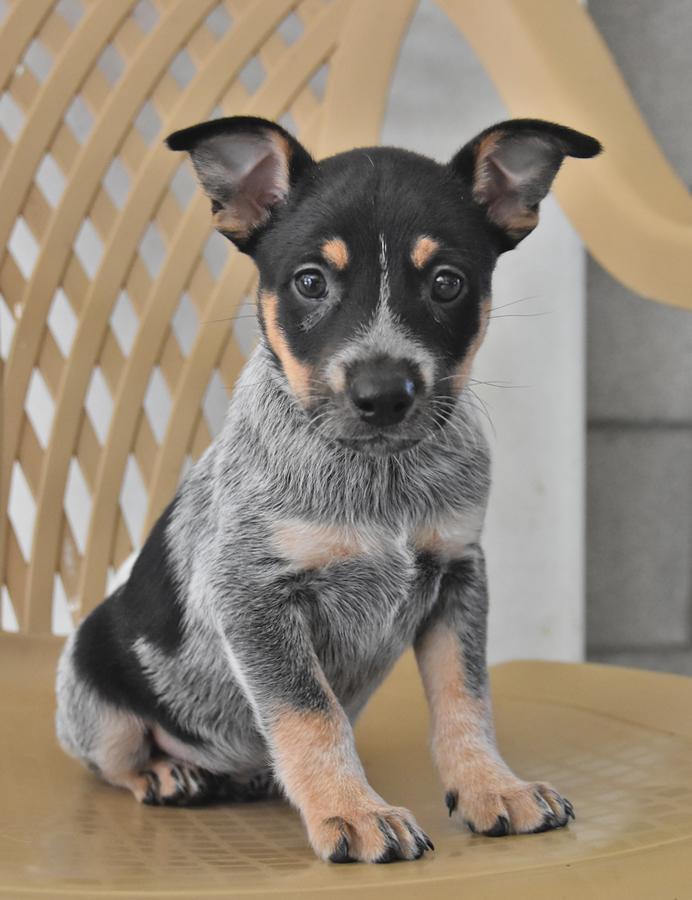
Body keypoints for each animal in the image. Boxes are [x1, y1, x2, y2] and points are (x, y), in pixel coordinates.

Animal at [56, 116, 600, 860]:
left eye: (447, 282)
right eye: (311, 281)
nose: (385, 394)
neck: (380, 478)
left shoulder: (458, 572)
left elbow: (465, 696)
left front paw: (493, 786)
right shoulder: (251, 594)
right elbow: (310, 714)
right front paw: (353, 811)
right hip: (90, 669)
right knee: (109, 758)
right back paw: (167, 772)